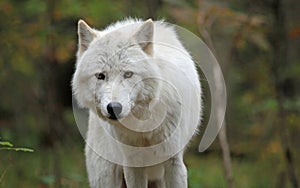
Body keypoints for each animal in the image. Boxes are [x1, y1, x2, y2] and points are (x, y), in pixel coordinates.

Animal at [72, 18, 203, 188]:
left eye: (128, 74)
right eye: (100, 76)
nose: (114, 108)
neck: (143, 126)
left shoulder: (173, 162)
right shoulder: (132, 165)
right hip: (106, 176)